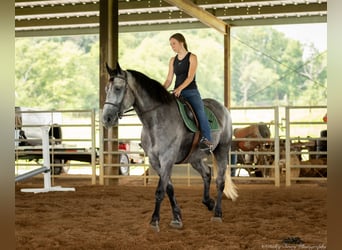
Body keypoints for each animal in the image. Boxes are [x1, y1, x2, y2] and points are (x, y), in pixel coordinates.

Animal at [101, 63, 238, 232]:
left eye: (118, 88)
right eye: (106, 89)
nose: (106, 119)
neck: (156, 120)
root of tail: (223, 109)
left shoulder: (167, 159)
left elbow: (160, 190)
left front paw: (154, 221)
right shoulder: (155, 161)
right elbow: (169, 188)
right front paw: (177, 218)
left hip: (222, 151)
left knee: (220, 181)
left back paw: (217, 213)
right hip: (195, 157)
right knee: (207, 174)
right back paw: (209, 203)